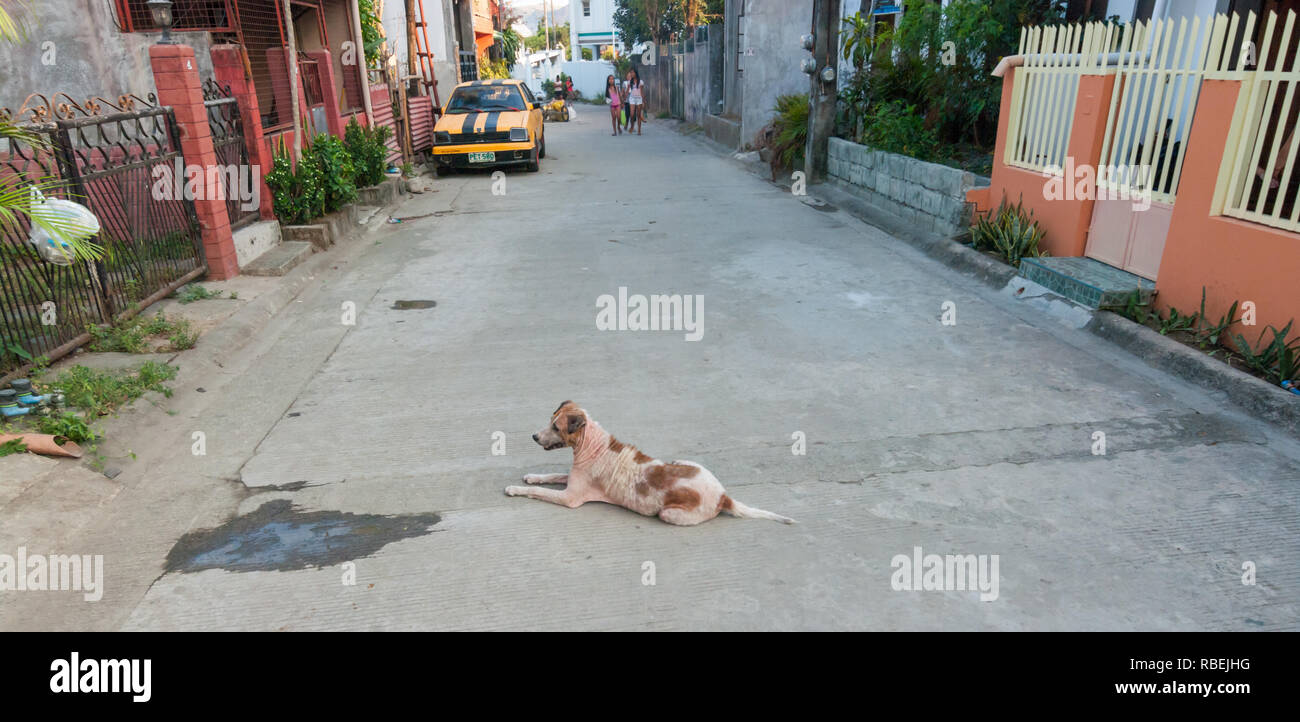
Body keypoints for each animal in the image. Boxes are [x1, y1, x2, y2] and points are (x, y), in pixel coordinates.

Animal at [504, 400, 790, 525]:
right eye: (550, 421)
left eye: (556, 427)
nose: (533, 436)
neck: (592, 444)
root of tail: (724, 496)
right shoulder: (572, 478)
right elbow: (549, 476)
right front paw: (532, 476)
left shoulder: (570, 498)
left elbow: (537, 491)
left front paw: (516, 489)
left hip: (669, 513)